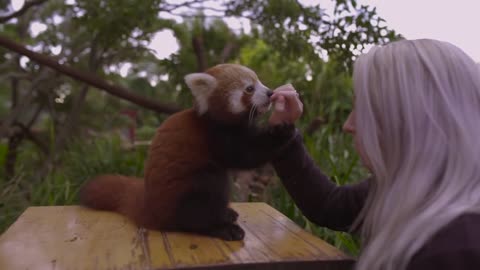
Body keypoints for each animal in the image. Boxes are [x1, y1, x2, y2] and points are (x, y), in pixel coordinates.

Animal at [79, 63, 296, 240]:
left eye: (259, 81)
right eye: (249, 88)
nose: (270, 93)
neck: (211, 118)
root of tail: (148, 206)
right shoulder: (215, 135)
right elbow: (244, 155)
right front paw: (282, 131)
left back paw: (227, 215)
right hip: (185, 189)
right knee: (202, 199)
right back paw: (222, 227)